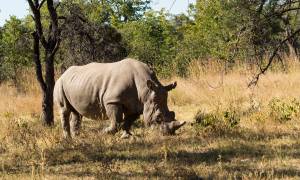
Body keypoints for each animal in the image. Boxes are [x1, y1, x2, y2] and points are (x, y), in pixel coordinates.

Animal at [54, 58, 185, 139]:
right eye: (158, 118)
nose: (168, 134)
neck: (145, 91)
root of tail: (63, 74)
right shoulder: (112, 100)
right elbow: (116, 121)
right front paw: (104, 132)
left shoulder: (137, 105)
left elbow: (127, 122)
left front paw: (127, 136)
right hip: (60, 83)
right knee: (64, 109)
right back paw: (68, 139)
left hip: (77, 83)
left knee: (76, 112)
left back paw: (77, 137)